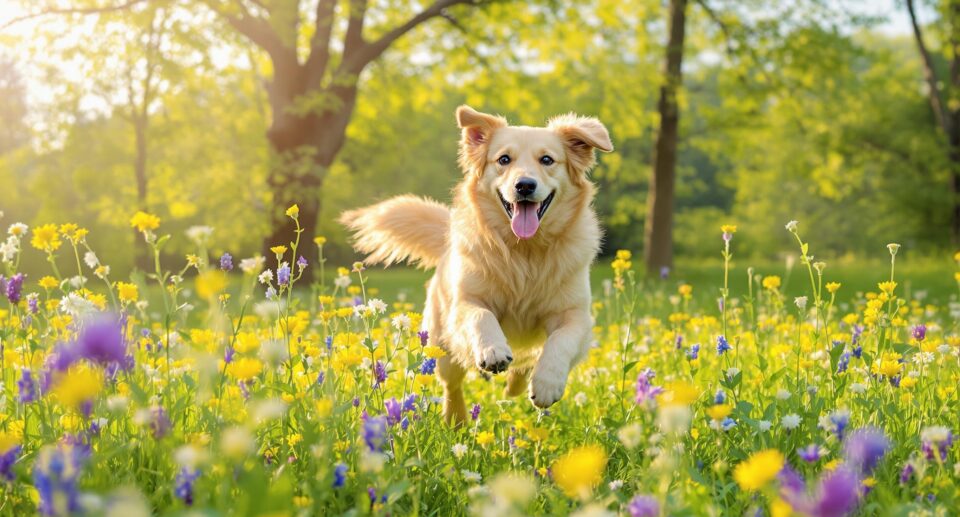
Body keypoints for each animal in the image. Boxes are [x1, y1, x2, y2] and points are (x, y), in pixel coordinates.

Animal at [342, 106, 612, 424]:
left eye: (547, 159)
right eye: (504, 160)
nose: (524, 185)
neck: (525, 251)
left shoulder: (575, 314)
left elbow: (561, 340)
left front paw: (547, 382)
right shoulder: (465, 303)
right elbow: (481, 316)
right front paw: (493, 351)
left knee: (525, 363)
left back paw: (517, 383)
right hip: (441, 343)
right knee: (452, 383)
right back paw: (456, 417)